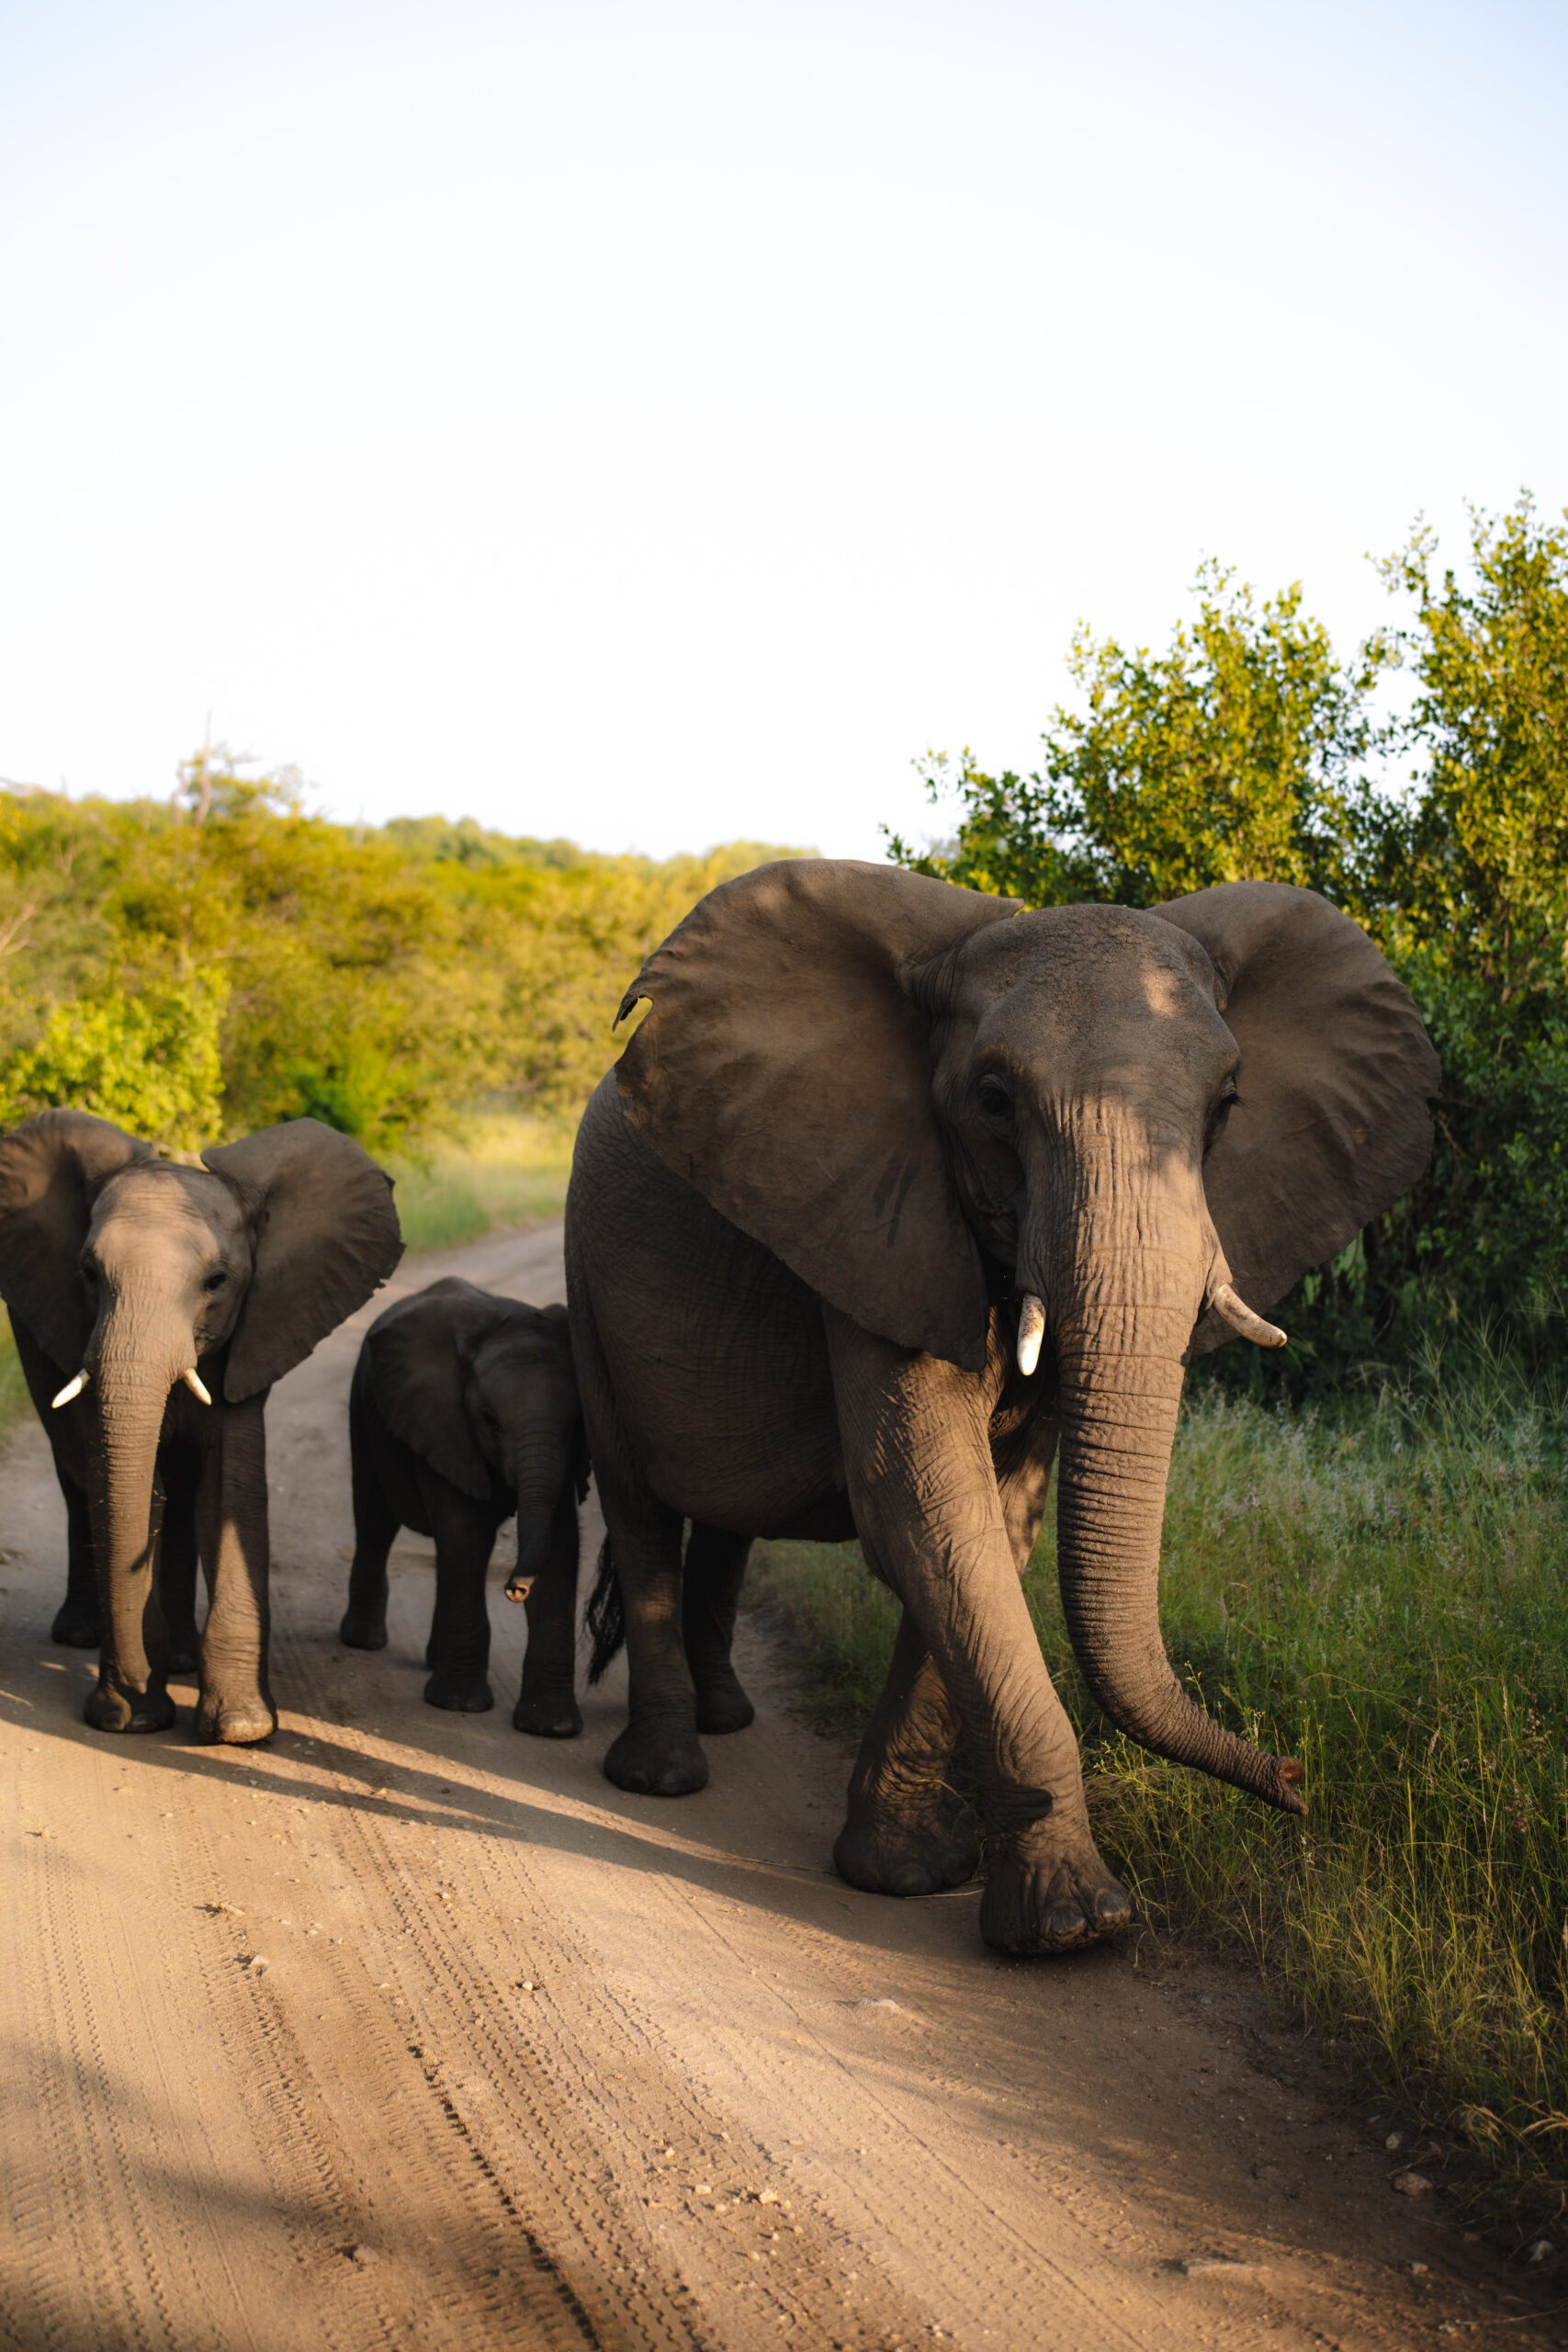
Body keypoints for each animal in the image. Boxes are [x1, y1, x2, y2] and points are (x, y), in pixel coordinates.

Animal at [0, 1108, 403, 1742]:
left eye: (216, 1282)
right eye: (87, 1273)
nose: (128, 1698)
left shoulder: (252, 1337)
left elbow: (227, 1490)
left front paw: (240, 1728)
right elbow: (135, 1489)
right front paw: (135, 1718)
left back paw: (181, 1661)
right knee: (76, 1477)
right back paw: (82, 1635)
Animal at [339, 1276, 591, 1732]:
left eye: (573, 1426)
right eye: (489, 1422)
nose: (514, 1589)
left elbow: (562, 1545)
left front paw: (552, 1728)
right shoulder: (444, 1424)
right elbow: (465, 1534)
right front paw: (458, 1705)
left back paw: (433, 1661)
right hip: (363, 1410)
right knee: (375, 1521)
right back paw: (363, 1642)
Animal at [565, 861, 1439, 1956]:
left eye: (1228, 1105)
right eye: (992, 1100)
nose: (1294, 1776)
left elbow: (994, 1523)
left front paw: (910, 1873)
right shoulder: (875, 1215)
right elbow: (924, 1512)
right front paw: (1074, 1927)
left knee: (724, 1523)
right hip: (587, 1279)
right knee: (639, 1505)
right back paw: (664, 1778)